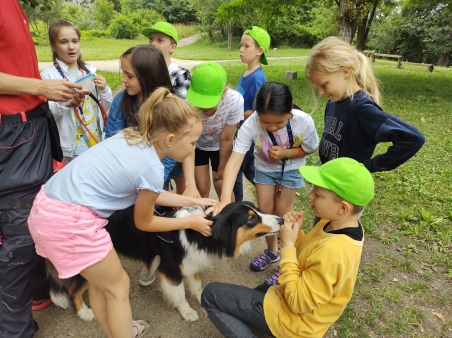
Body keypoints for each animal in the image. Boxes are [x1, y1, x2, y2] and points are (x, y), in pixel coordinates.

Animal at [47, 201, 284, 322]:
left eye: (257, 210)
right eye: (251, 218)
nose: (281, 219)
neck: (199, 235)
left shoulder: (191, 263)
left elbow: (197, 286)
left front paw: (203, 299)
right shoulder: (171, 269)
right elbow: (179, 294)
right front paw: (187, 312)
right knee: (73, 290)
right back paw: (85, 313)